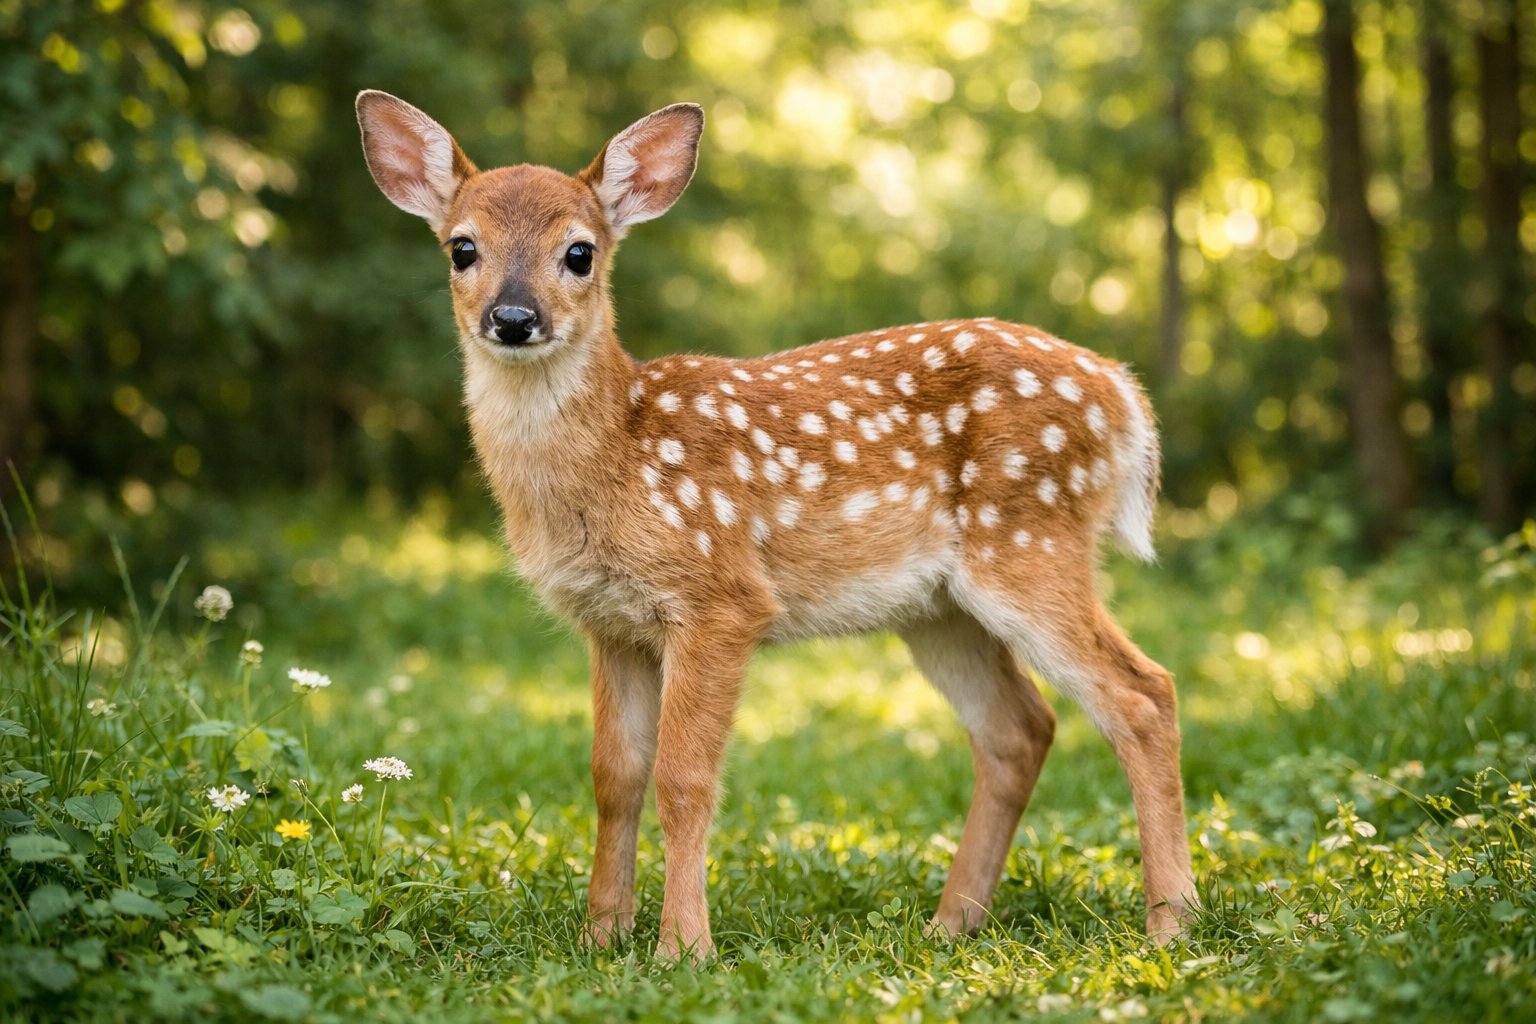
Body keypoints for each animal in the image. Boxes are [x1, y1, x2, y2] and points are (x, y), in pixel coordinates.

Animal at [355, 90, 1198, 962]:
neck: (617, 457)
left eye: (580, 253)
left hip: (1030, 539)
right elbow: (614, 776)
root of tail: (1125, 396)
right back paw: (952, 923)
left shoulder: (720, 596)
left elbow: (684, 777)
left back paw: (1170, 923)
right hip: (939, 607)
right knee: (1019, 729)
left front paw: (682, 948)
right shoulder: (610, 622)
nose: (514, 317)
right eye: (462, 248)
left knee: (1144, 695)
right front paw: (601, 936)